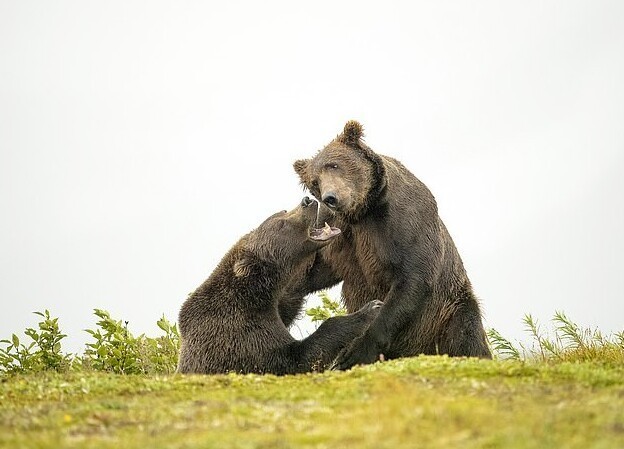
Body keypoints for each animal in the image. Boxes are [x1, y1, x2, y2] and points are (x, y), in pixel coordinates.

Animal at [176, 196, 380, 374]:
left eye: (283, 211)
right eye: (281, 224)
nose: (307, 201)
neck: (258, 294)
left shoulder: (279, 303)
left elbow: (297, 288)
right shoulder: (240, 333)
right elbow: (293, 359)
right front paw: (370, 309)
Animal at [292, 119, 492, 368]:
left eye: (334, 165)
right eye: (314, 181)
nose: (331, 197)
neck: (363, 212)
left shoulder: (402, 220)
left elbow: (412, 277)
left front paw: (353, 353)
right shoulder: (340, 235)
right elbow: (315, 270)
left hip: (447, 309)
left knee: (466, 332)